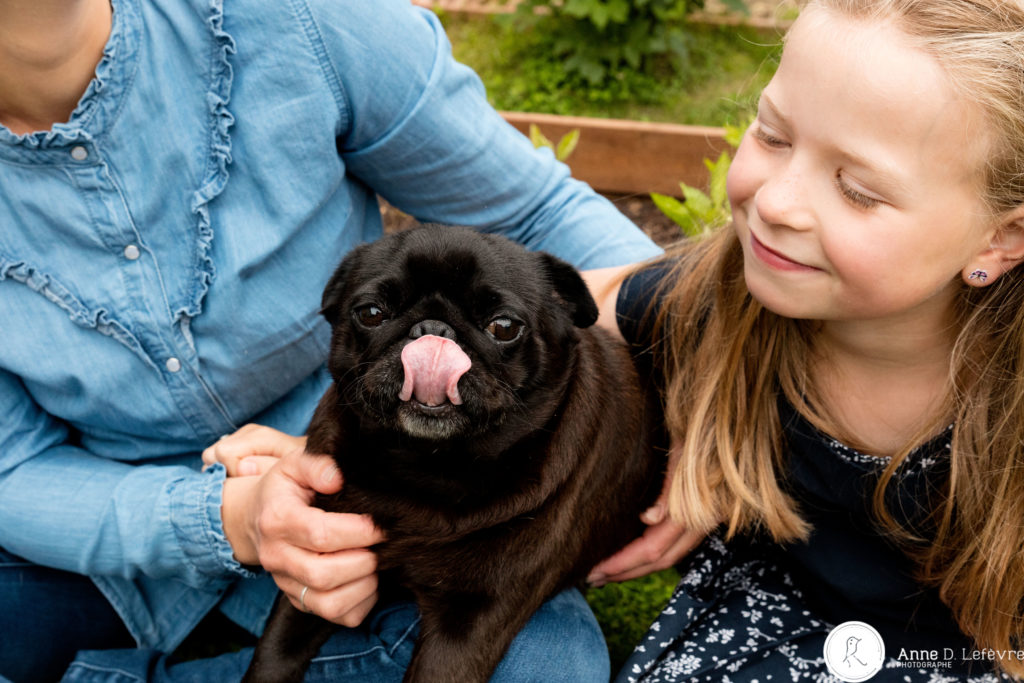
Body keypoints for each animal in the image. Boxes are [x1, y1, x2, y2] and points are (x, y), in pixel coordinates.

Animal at [245, 225, 663, 683]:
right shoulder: (317, 571)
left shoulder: (470, 623)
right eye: (370, 313)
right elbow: (274, 656)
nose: (433, 328)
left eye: (504, 326)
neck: (429, 465)